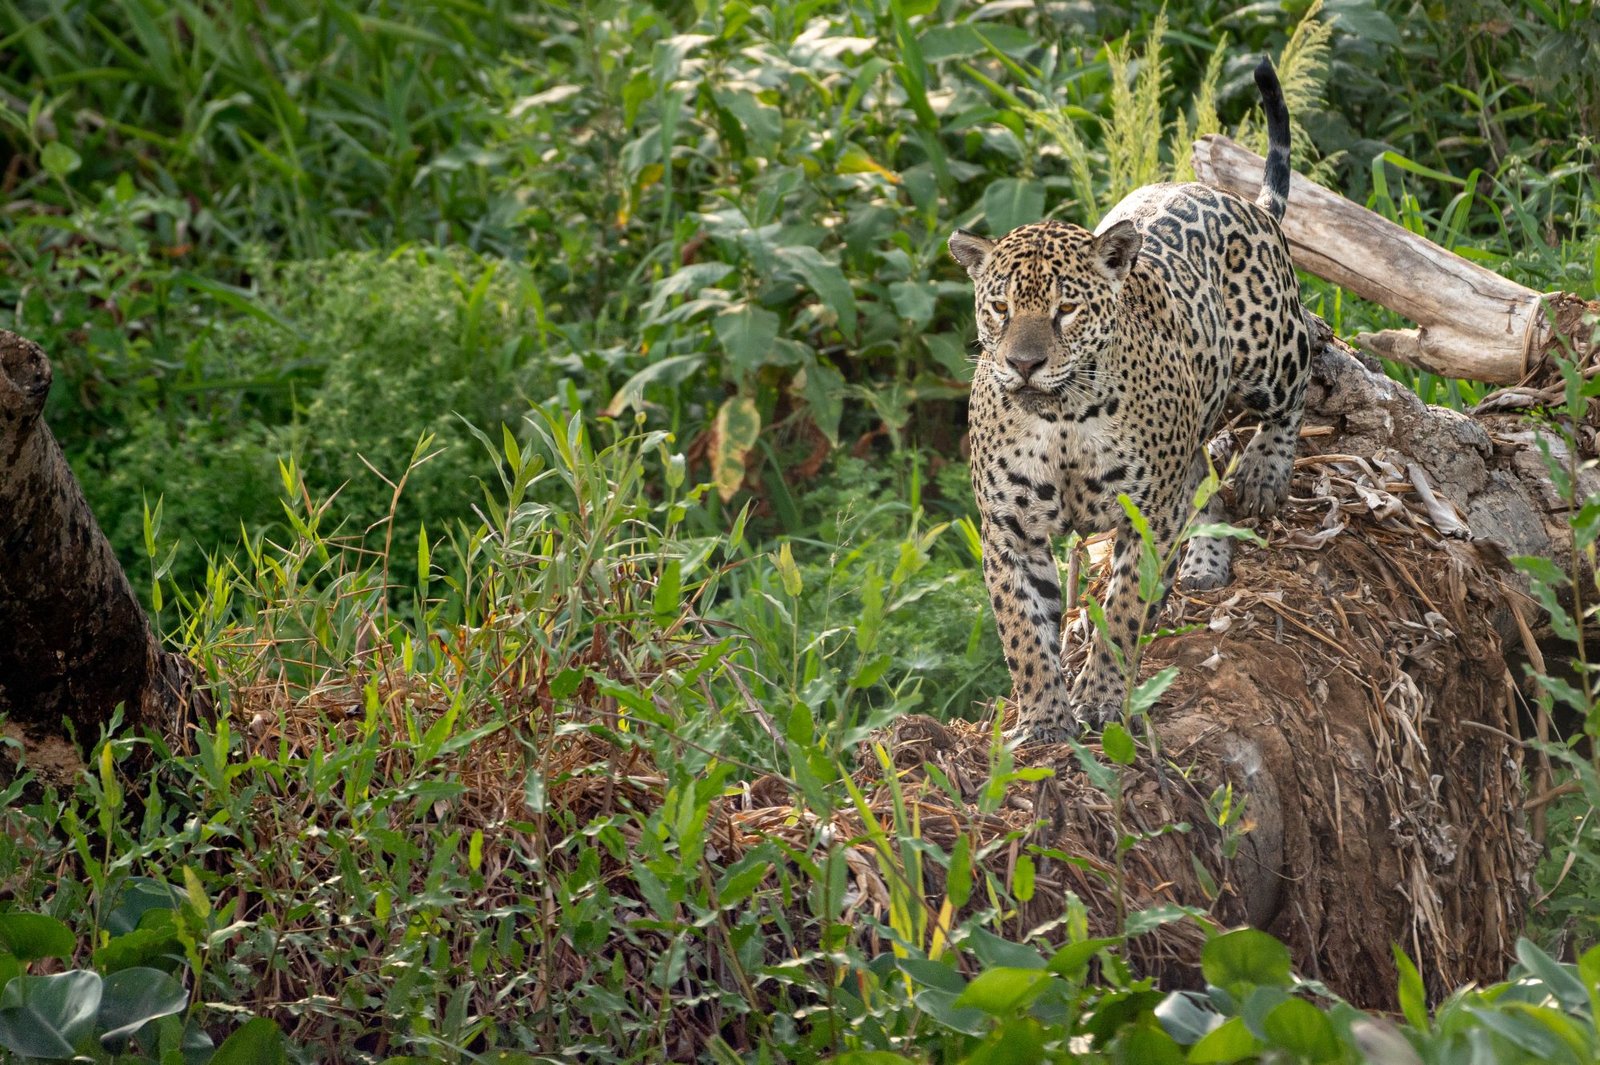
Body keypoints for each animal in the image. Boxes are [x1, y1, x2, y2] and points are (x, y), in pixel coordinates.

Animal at [949, 57, 1312, 743]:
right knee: (1200, 474)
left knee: (1300, 380)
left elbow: (1121, 612)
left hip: (1270, 347)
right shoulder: (1010, 533)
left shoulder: (1144, 516)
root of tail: (1241, 201)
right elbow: (1023, 633)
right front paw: (1044, 720)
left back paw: (1263, 472)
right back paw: (1204, 562)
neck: (1062, 418)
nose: (1024, 364)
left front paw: (1100, 701)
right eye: (1000, 306)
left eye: (1066, 308)